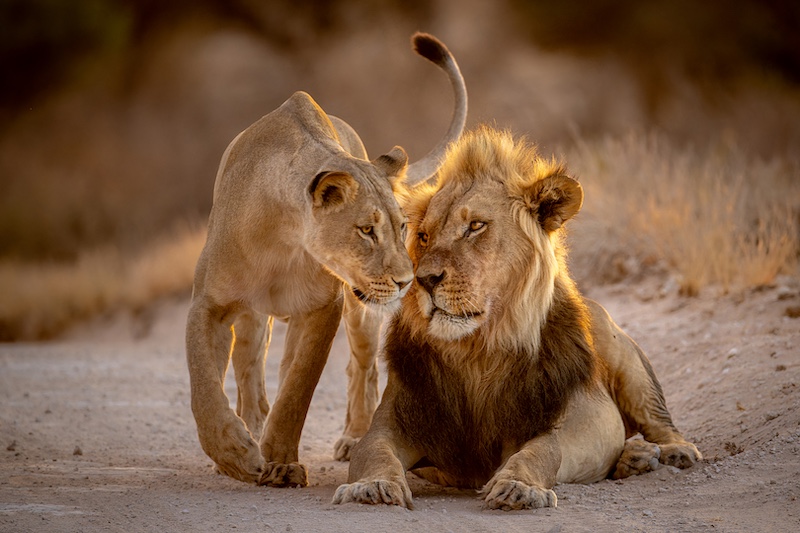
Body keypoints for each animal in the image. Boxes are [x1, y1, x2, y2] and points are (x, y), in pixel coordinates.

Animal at [186, 33, 467, 487]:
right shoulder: (207, 304)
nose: (407, 281)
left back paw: (353, 437)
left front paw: (280, 462)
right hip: (253, 320)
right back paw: (251, 427)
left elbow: (298, 389)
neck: (283, 242)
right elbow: (204, 384)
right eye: (366, 230)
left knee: (362, 368)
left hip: (360, 312)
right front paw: (235, 454)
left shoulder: (323, 309)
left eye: (401, 227)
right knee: (249, 369)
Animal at [333, 126, 701, 510]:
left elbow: (541, 450)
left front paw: (518, 487)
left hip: (626, 360)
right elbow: (373, 452)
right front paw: (372, 486)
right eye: (423, 235)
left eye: (475, 226)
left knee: (658, 419)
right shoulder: (395, 420)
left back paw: (672, 452)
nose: (424, 280)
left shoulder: (573, 421)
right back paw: (635, 457)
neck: (477, 352)